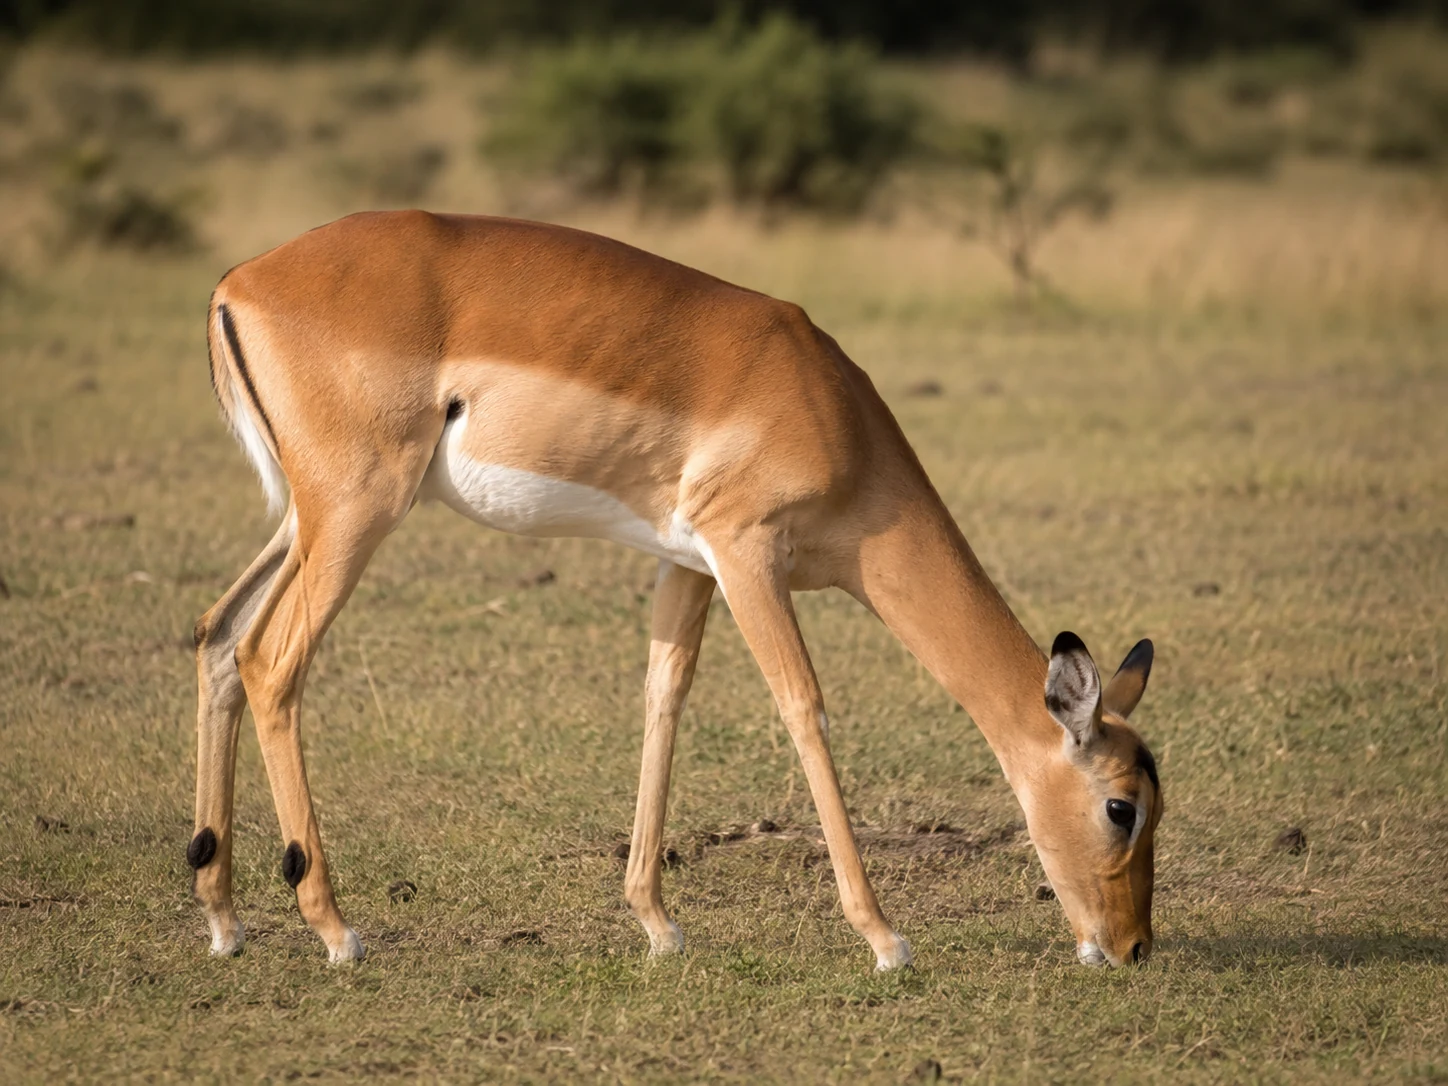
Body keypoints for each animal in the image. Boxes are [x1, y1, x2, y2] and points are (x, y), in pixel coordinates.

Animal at [188, 211, 1161, 972]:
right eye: (1121, 806)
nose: (1132, 946)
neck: (831, 413)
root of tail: (240, 279)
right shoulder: (747, 553)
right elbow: (802, 706)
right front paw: (886, 939)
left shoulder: (689, 562)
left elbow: (665, 695)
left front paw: (657, 923)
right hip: (357, 512)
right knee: (272, 660)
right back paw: (334, 929)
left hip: (308, 521)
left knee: (218, 634)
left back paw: (225, 919)